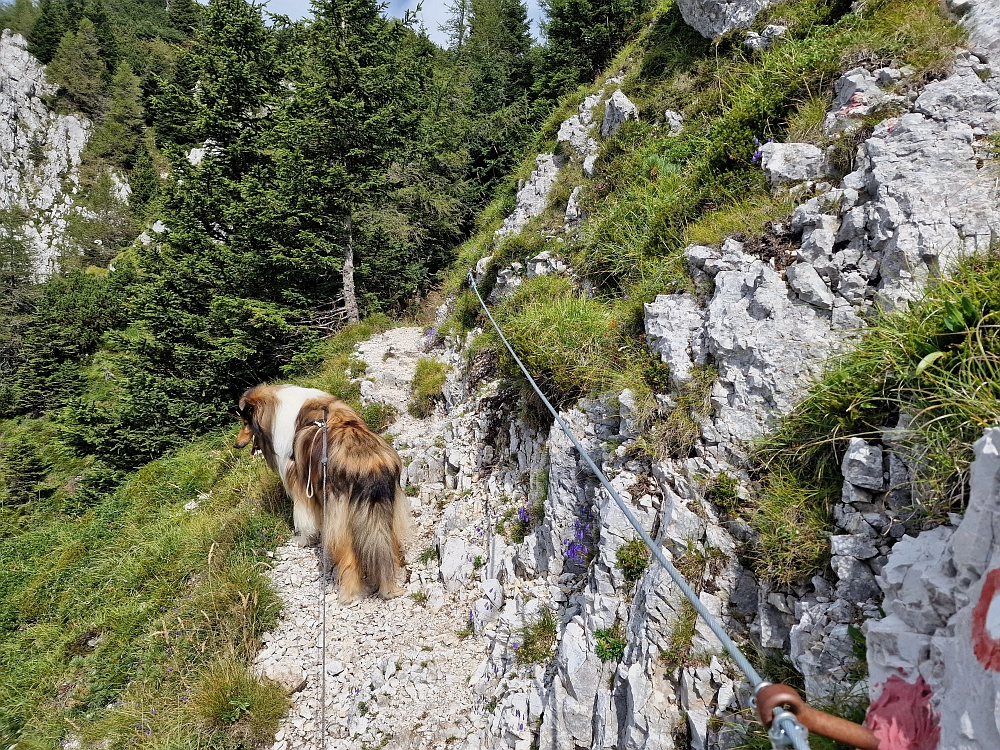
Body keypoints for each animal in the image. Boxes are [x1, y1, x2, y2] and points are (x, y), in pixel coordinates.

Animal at [234, 384, 410, 604]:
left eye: (244, 422)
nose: (236, 445)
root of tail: (368, 463)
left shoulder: (301, 486)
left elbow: (304, 518)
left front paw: (303, 540)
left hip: (339, 518)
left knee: (349, 558)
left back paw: (349, 594)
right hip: (387, 513)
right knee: (388, 548)